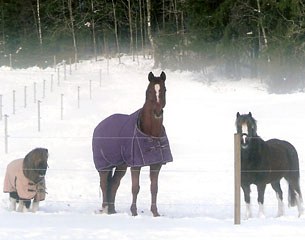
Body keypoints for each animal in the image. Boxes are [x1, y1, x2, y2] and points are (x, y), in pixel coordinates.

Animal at [91, 72, 172, 217]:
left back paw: (112, 211)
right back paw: (105, 209)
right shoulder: (136, 165)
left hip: (121, 165)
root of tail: (99, 126)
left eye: (164, 90)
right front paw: (134, 212)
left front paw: (155, 213)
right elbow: (135, 188)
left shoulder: (156, 165)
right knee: (104, 184)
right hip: (104, 166)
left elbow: (154, 188)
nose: (157, 112)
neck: (151, 134)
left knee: (114, 184)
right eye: (149, 91)